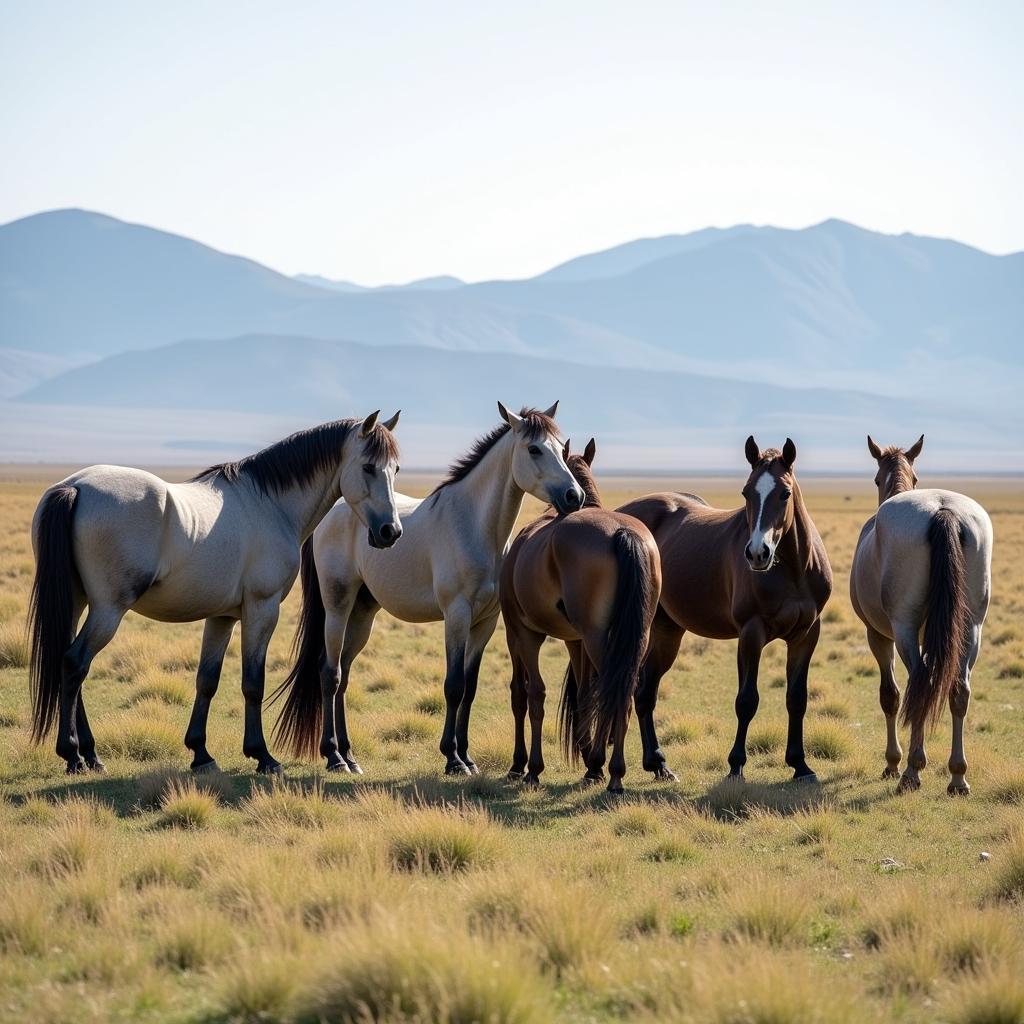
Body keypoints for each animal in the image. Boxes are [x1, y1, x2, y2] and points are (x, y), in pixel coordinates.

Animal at [25, 411, 401, 770]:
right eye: (368, 467)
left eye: (396, 469)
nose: (391, 531)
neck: (271, 505)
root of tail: (75, 487)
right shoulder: (262, 610)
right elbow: (253, 682)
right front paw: (262, 755)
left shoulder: (221, 617)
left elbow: (207, 680)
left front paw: (200, 753)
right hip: (108, 610)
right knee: (74, 664)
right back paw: (73, 754)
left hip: (77, 603)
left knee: (68, 664)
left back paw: (90, 753)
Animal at [272, 403, 589, 770]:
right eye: (534, 449)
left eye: (562, 448)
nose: (574, 496)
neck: (474, 526)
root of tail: (334, 512)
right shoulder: (457, 615)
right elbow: (453, 685)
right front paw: (452, 758)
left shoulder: (485, 622)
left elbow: (470, 687)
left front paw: (467, 756)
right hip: (338, 605)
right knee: (330, 672)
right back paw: (334, 755)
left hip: (363, 613)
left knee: (345, 675)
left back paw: (350, 755)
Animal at [497, 438, 659, 790]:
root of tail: (623, 533)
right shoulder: (575, 641)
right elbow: (584, 696)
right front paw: (587, 759)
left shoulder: (522, 633)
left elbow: (527, 694)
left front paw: (527, 766)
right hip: (635, 639)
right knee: (624, 695)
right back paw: (605, 769)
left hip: (594, 640)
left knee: (614, 694)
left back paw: (610, 772)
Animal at [618, 436, 835, 778]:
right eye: (746, 492)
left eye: (785, 493)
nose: (758, 553)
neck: (793, 570)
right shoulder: (751, 633)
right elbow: (746, 701)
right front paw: (736, 765)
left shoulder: (806, 634)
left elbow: (797, 699)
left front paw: (800, 765)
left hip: (667, 630)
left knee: (645, 690)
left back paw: (658, 764)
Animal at [847, 432, 991, 790]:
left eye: (876, 479)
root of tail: (943, 511)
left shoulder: (877, 635)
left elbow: (891, 696)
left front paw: (893, 762)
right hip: (971, 629)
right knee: (958, 689)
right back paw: (957, 775)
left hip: (904, 630)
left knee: (920, 683)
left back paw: (912, 771)